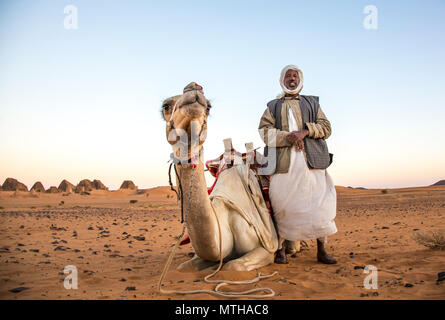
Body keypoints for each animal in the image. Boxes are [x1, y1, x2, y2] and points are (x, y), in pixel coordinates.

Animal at [160, 82, 280, 270]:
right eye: (166, 106)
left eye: (209, 107)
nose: (194, 88)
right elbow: (183, 267)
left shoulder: (267, 247)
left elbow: (232, 266)